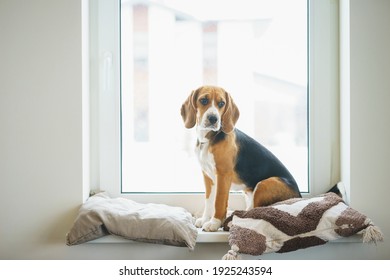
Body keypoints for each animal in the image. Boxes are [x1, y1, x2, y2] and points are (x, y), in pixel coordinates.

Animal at [181, 86, 302, 232]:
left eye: (221, 103)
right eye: (203, 100)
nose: (213, 118)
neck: (208, 139)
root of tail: (299, 196)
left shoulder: (223, 175)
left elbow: (218, 201)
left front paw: (214, 223)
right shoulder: (207, 176)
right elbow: (209, 200)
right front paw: (205, 219)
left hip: (264, 184)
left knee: (254, 211)